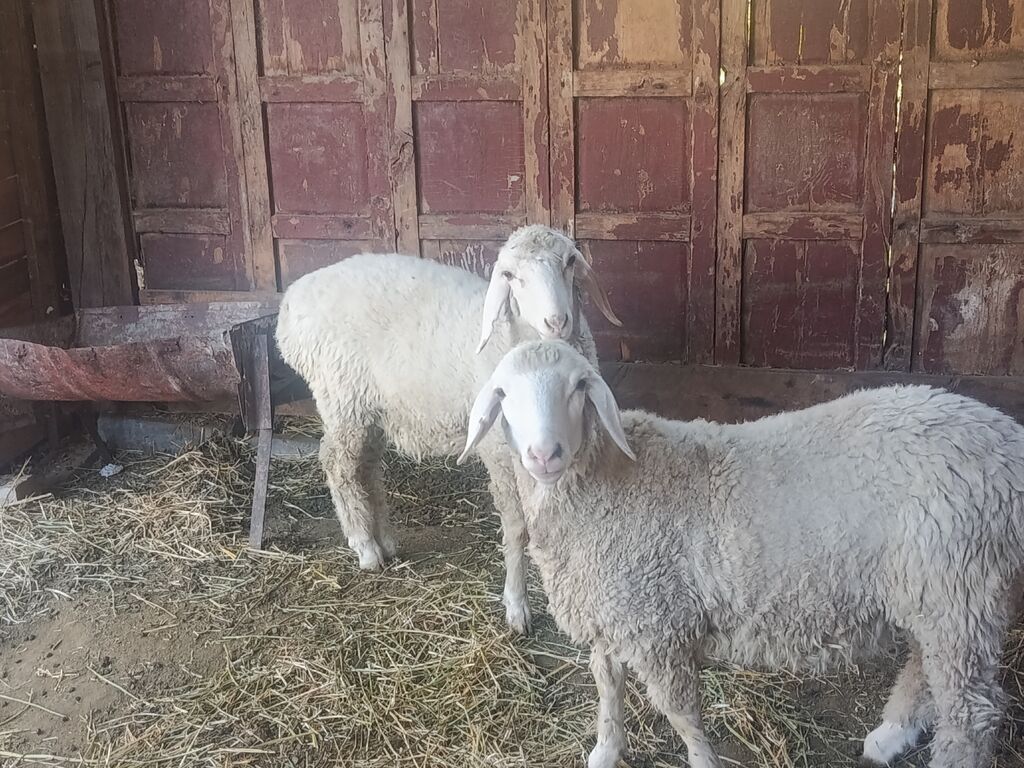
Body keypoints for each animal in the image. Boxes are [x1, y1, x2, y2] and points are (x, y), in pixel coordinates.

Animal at [275, 226, 620, 634]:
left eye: (569, 262)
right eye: (510, 276)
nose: (557, 321)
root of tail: (291, 302)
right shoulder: (499, 452)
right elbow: (517, 526)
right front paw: (516, 605)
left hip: (372, 409)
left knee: (367, 469)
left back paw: (385, 539)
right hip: (343, 399)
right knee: (338, 465)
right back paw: (364, 546)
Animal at [459, 339, 1024, 768]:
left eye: (579, 387)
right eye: (504, 393)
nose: (544, 455)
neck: (610, 481)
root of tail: (1004, 438)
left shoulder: (657, 629)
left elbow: (682, 715)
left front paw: (701, 762)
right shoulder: (614, 616)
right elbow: (608, 689)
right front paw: (605, 750)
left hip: (961, 589)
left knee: (971, 715)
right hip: (936, 592)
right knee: (927, 668)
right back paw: (889, 735)